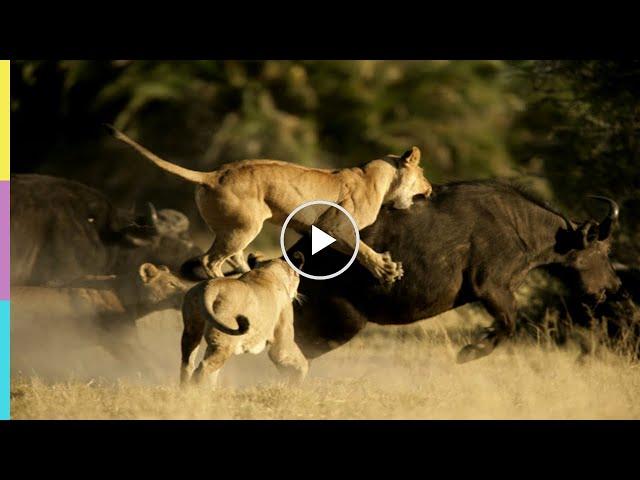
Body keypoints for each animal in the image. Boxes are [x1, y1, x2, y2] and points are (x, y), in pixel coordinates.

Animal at [290, 181, 620, 364]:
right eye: (604, 251)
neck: (520, 225)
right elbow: (509, 323)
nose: (614, 286)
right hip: (343, 322)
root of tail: (296, 254)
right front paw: (470, 352)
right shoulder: (491, 287)